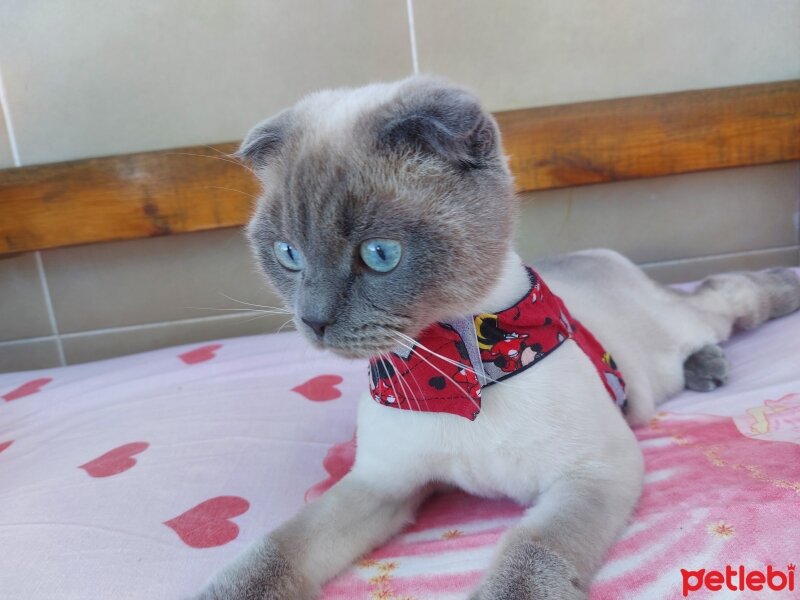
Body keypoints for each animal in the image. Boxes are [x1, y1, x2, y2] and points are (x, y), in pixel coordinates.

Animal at [194, 76, 800, 600]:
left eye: (380, 255)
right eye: (288, 255)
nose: (313, 321)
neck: (455, 366)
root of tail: (593, 255)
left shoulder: (591, 475)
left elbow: (528, 559)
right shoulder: (380, 485)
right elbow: (274, 552)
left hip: (685, 327)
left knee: (726, 295)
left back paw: (775, 297)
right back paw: (708, 367)